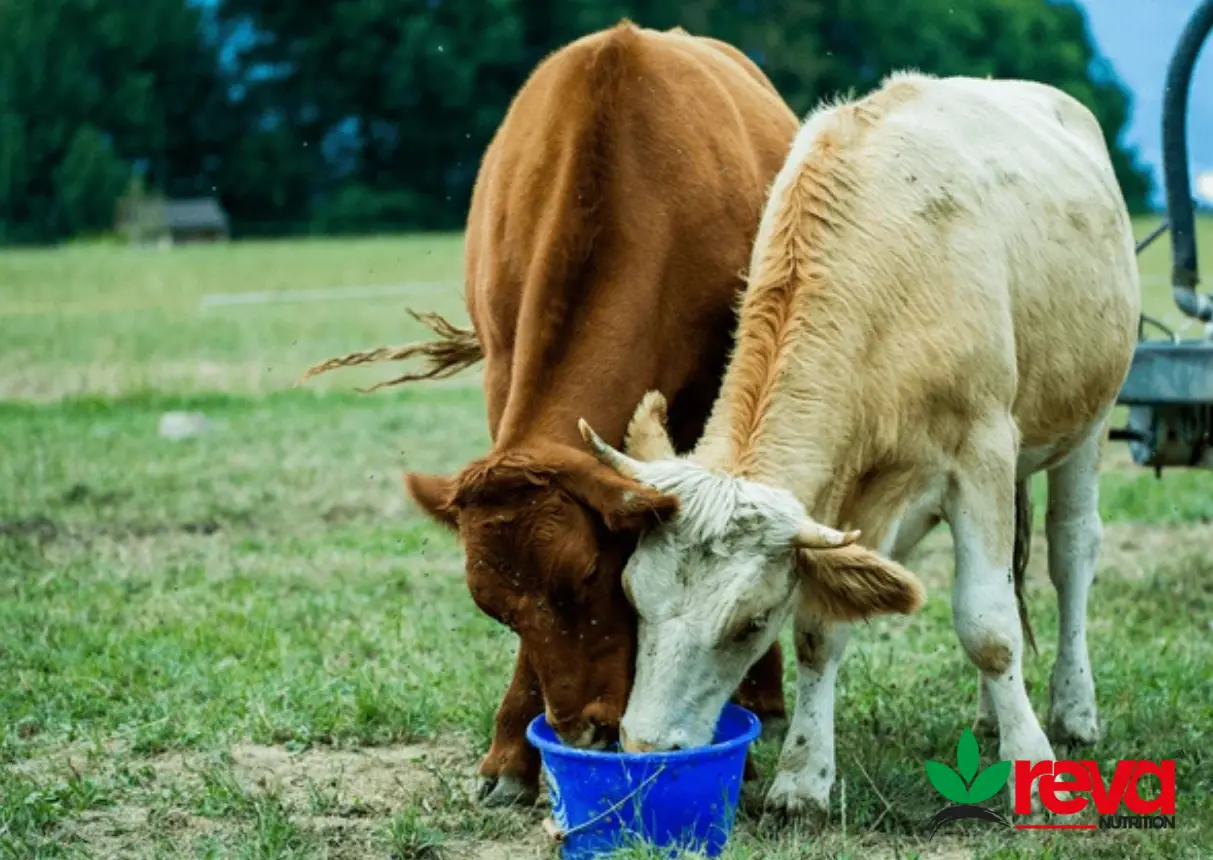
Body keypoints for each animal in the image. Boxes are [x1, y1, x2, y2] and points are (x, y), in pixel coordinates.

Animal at [299, 20, 800, 805]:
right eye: (494, 607)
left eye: (590, 576)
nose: (582, 731)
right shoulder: (504, 374)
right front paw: (511, 751)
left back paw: (765, 700)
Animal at [574, 72, 1135, 819]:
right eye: (632, 594)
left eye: (749, 622)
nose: (646, 750)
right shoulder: (845, 501)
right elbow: (821, 629)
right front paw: (802, 776)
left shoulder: (982, 450)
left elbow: (987, 627)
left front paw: (1033, 766)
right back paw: (992, 716)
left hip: (1085, 424)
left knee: (1070, 554)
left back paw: (1072, 710)